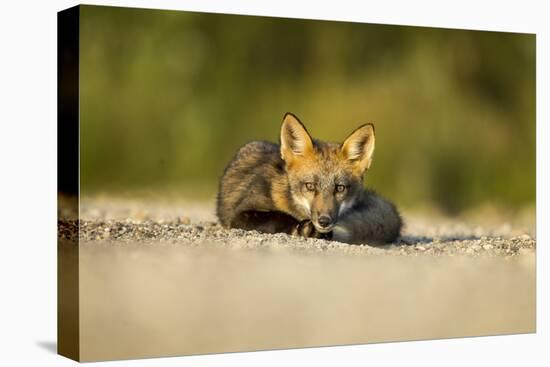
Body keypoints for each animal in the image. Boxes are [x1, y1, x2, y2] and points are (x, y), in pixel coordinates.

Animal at [218, 112, 404, 244]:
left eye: (340, 188)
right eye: (310, 186)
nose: (324, 221)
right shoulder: (240, 213)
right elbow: (276, 216)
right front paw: (301, 228)